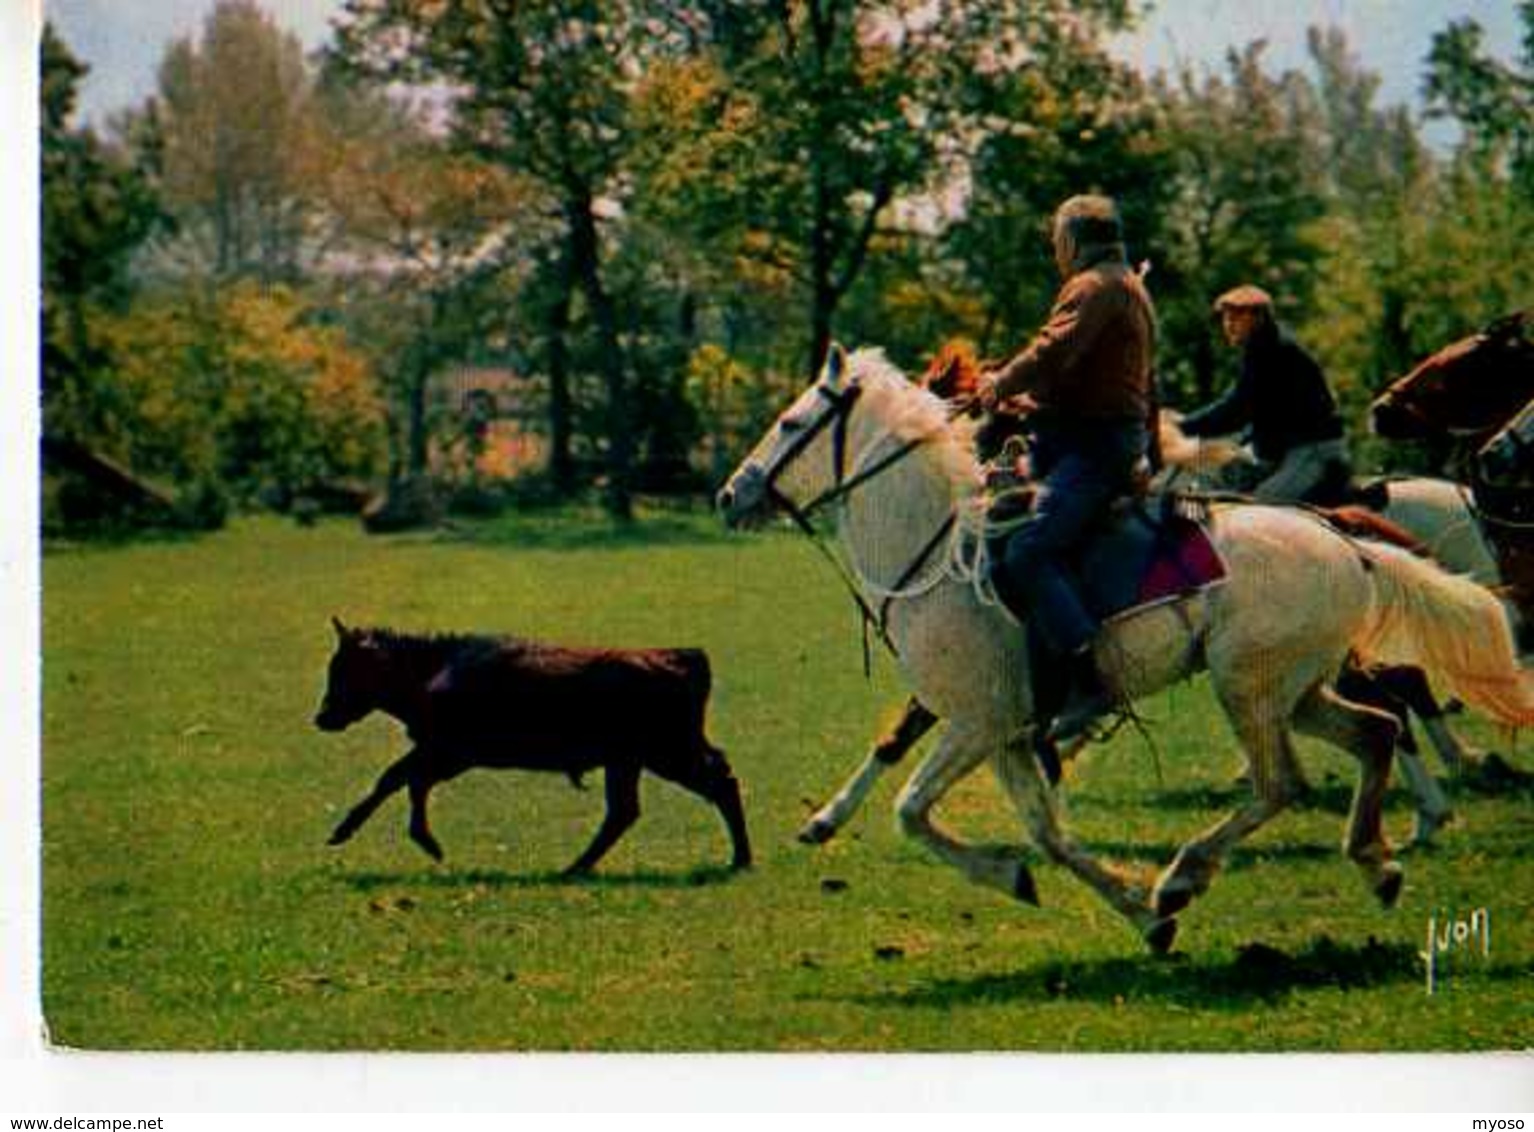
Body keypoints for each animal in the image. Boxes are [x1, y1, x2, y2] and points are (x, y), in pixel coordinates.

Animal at [717, 348, 1534, 951]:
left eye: (791, 422)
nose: (730, 494)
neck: (940, 554)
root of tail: (1345, 541)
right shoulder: (1004, 735)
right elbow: (1046, 834)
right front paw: (1136, 914)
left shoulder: (978, 724)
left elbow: (913, 810)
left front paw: (1027, 878)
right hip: (1300, 691)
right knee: (1377, 731)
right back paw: (1378, 858)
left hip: (1247, 688)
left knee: (1287, 781)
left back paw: (1190, 872)